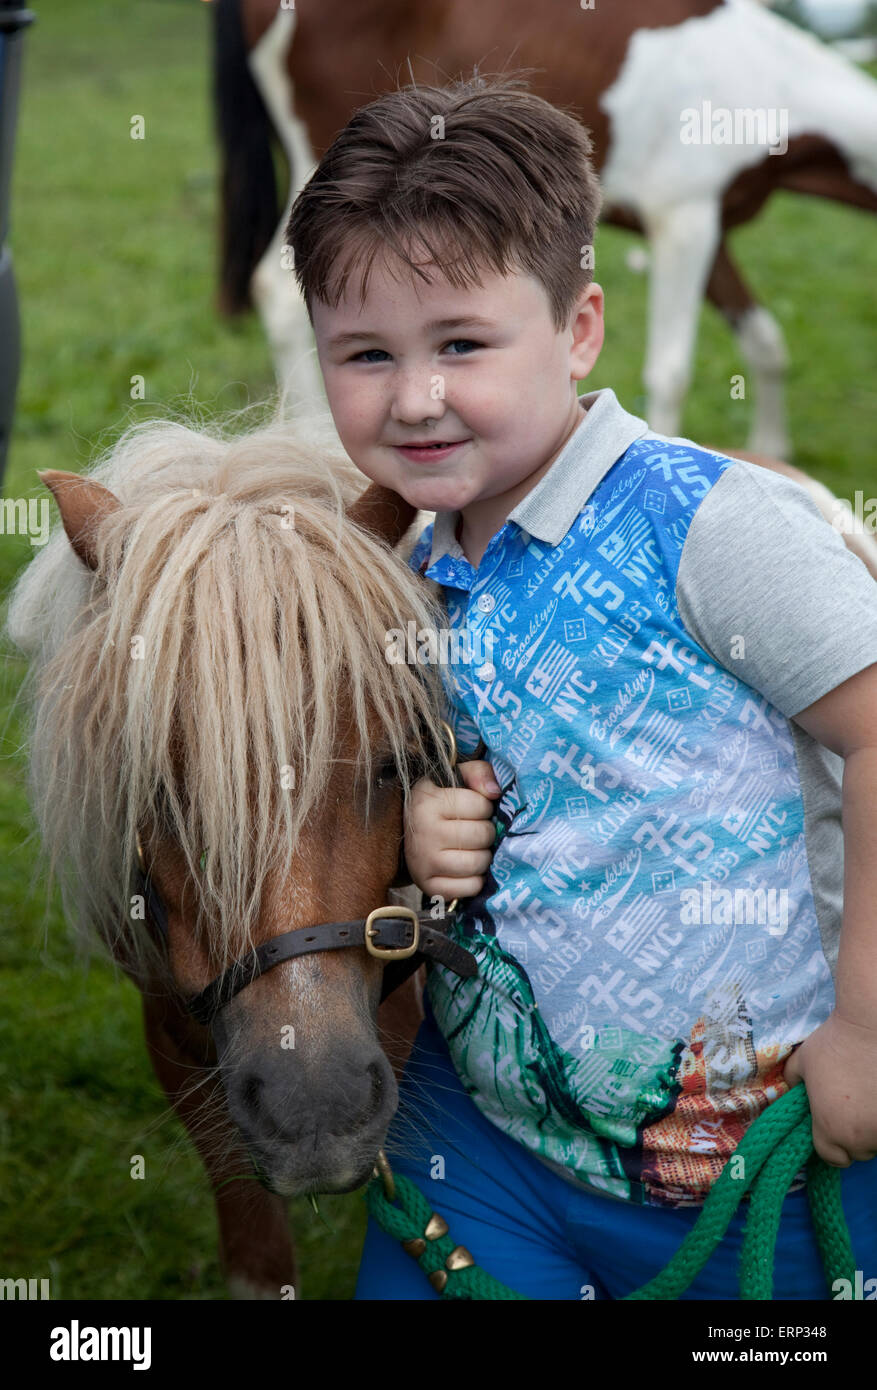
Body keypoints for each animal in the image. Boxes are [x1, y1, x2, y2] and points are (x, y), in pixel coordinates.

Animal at [211, 0, 877, 455]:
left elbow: (764, 340)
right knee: (279, 292)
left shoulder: (706, 231)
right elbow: (670, 373)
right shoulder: (683, 222)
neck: (763, 86)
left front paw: (769, 452)